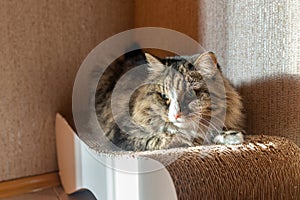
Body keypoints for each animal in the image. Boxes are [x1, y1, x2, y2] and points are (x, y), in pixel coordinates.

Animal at [95, 50, 245, 152]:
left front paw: (232, 136)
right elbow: (165, 137)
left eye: (190, 94)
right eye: (164, 96)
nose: (176, 114)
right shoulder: (123, 135)